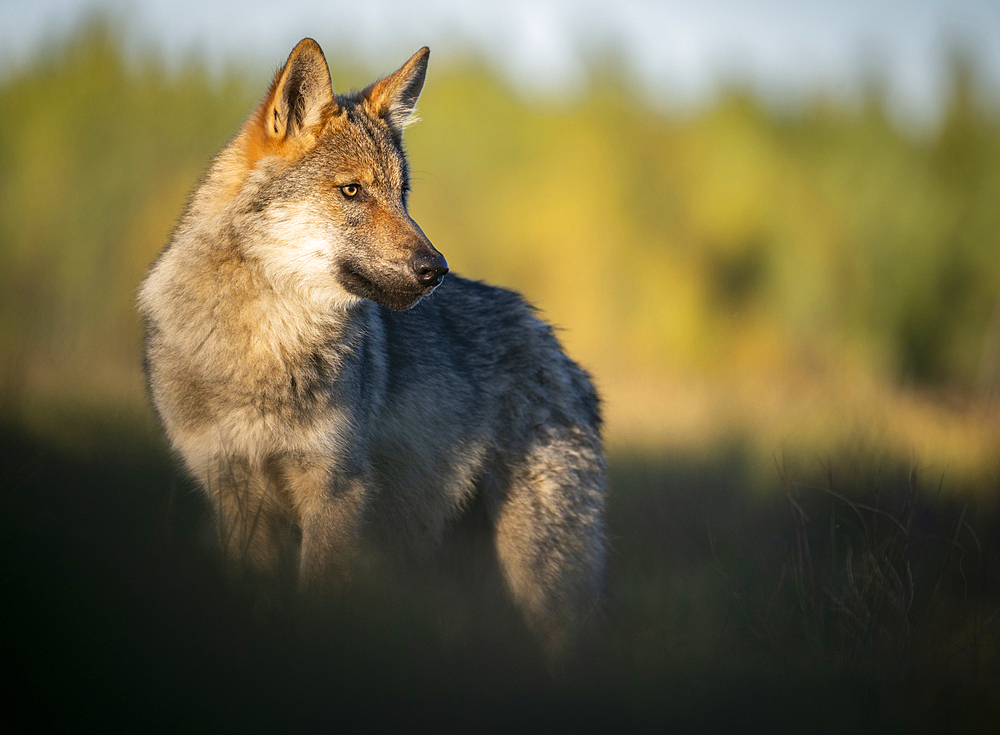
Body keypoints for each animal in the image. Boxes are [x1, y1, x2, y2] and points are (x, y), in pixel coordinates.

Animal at [139, 37, 608, 652]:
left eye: (402, 194)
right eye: (352, 191)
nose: (436, 271)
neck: (266, 346)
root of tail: (560, 349)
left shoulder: (336, 491)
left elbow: (317, 603)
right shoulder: (235, 495)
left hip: (541, 577)